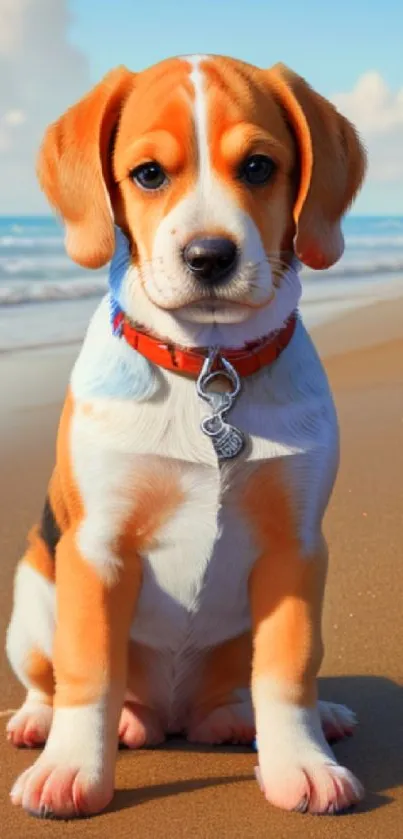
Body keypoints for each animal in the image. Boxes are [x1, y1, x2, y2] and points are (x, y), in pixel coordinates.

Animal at [6, 55, 368, 816]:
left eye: (259, 167)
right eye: (148, 174)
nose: (209, 256)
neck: (210, 366)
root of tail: (174, 716)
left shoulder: (296, 549)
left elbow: (289, 666)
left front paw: (300, 761)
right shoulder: (96, 547)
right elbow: (88, 670)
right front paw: (72, 770)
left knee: (251, 685)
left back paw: (277, 716)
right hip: (30, 596)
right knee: (49, 677)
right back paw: (45, 722)